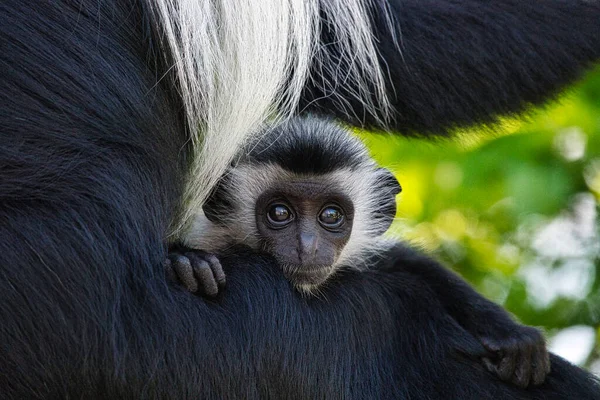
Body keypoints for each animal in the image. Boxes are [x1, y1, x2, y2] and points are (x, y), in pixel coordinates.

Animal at [166, 116, 552, 388]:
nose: (307, 246)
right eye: (279, 212)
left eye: (330, 215)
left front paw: (509, 333)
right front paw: (191, 262)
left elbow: (404, 261)